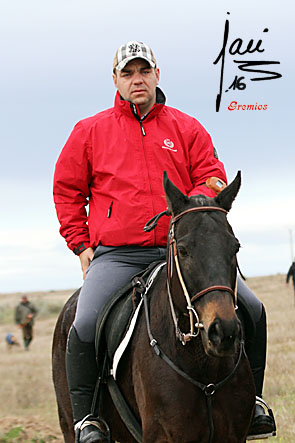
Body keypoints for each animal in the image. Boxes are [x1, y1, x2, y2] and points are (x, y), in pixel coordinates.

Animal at [52, 173, 256, 443]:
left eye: (235, 247)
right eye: (183, 250)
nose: (223, 331)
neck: (203, 369)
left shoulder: (233, 436)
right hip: (68, 422)